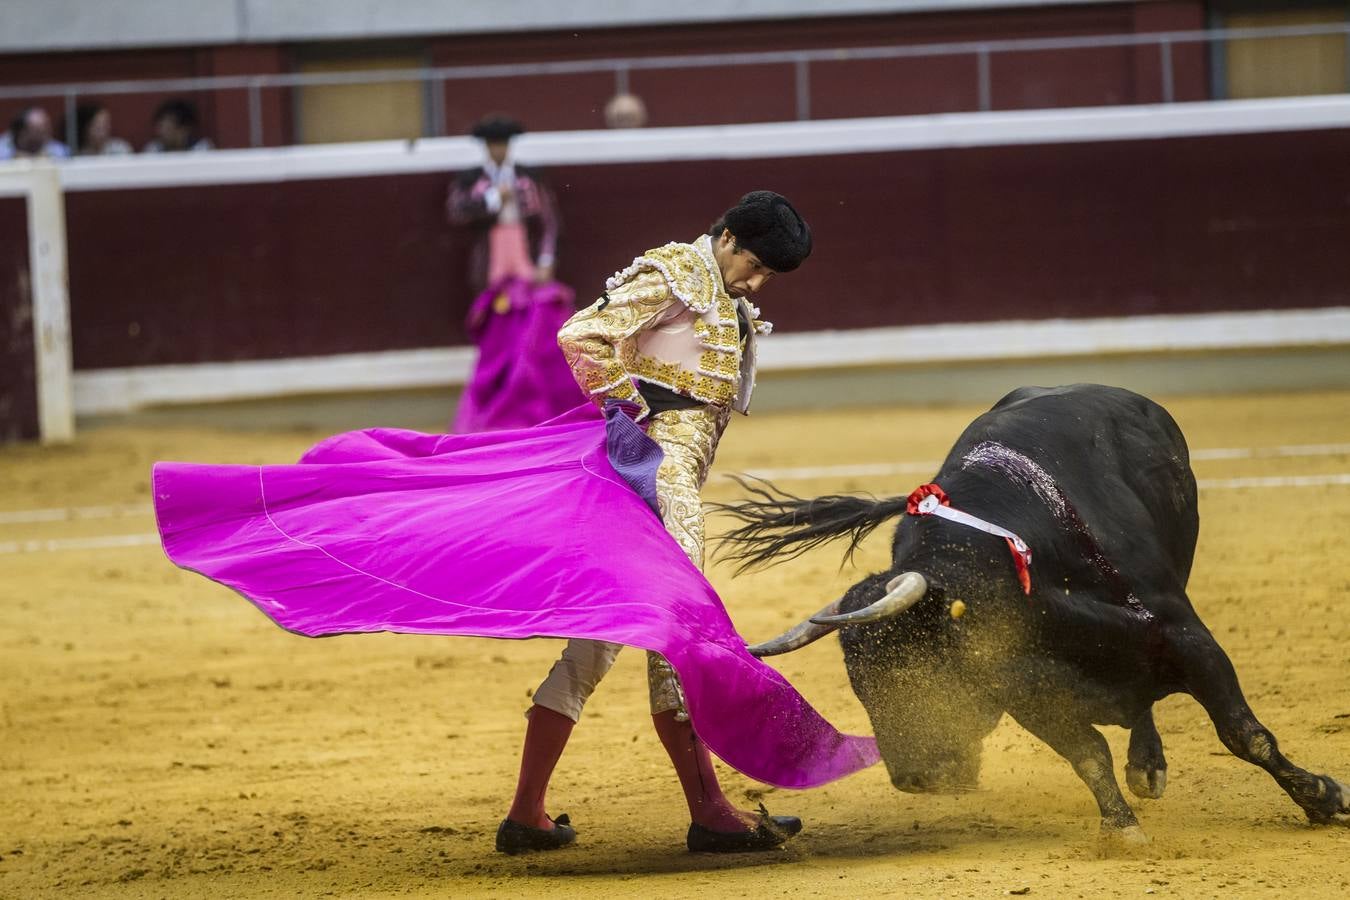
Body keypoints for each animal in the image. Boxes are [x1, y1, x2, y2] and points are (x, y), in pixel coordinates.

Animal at [712, 383, 1344, 836]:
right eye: (859, 683)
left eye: (912, 663)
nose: (916, 778)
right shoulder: (1025, 689)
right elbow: (1088, 755)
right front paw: (1121, 831)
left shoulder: (1186, 636)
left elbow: (1244, 734)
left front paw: (1323, 798)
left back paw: (1151, 765)